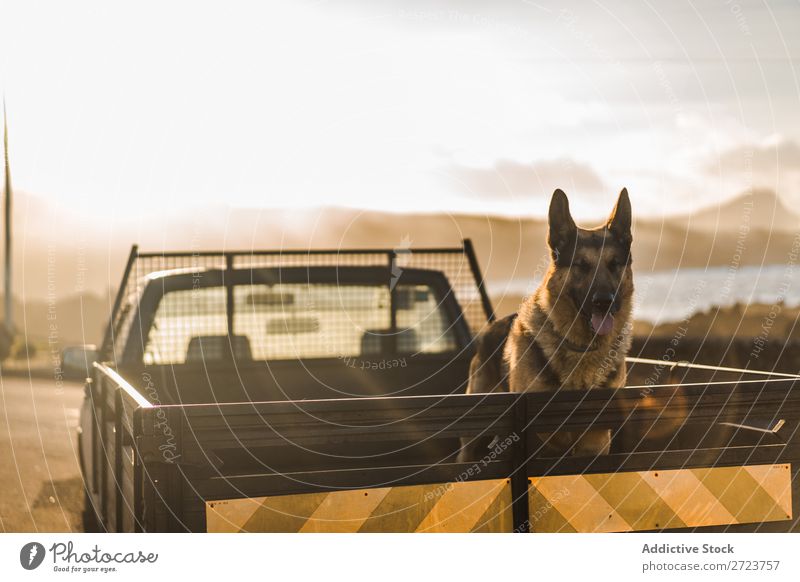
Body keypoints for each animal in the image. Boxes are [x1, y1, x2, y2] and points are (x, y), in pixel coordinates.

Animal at [460, 190, 636, 460]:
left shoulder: (594, 441)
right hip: (473, 434)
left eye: (614, 263)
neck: (581, 348)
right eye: (581, 265)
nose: (604, 302)